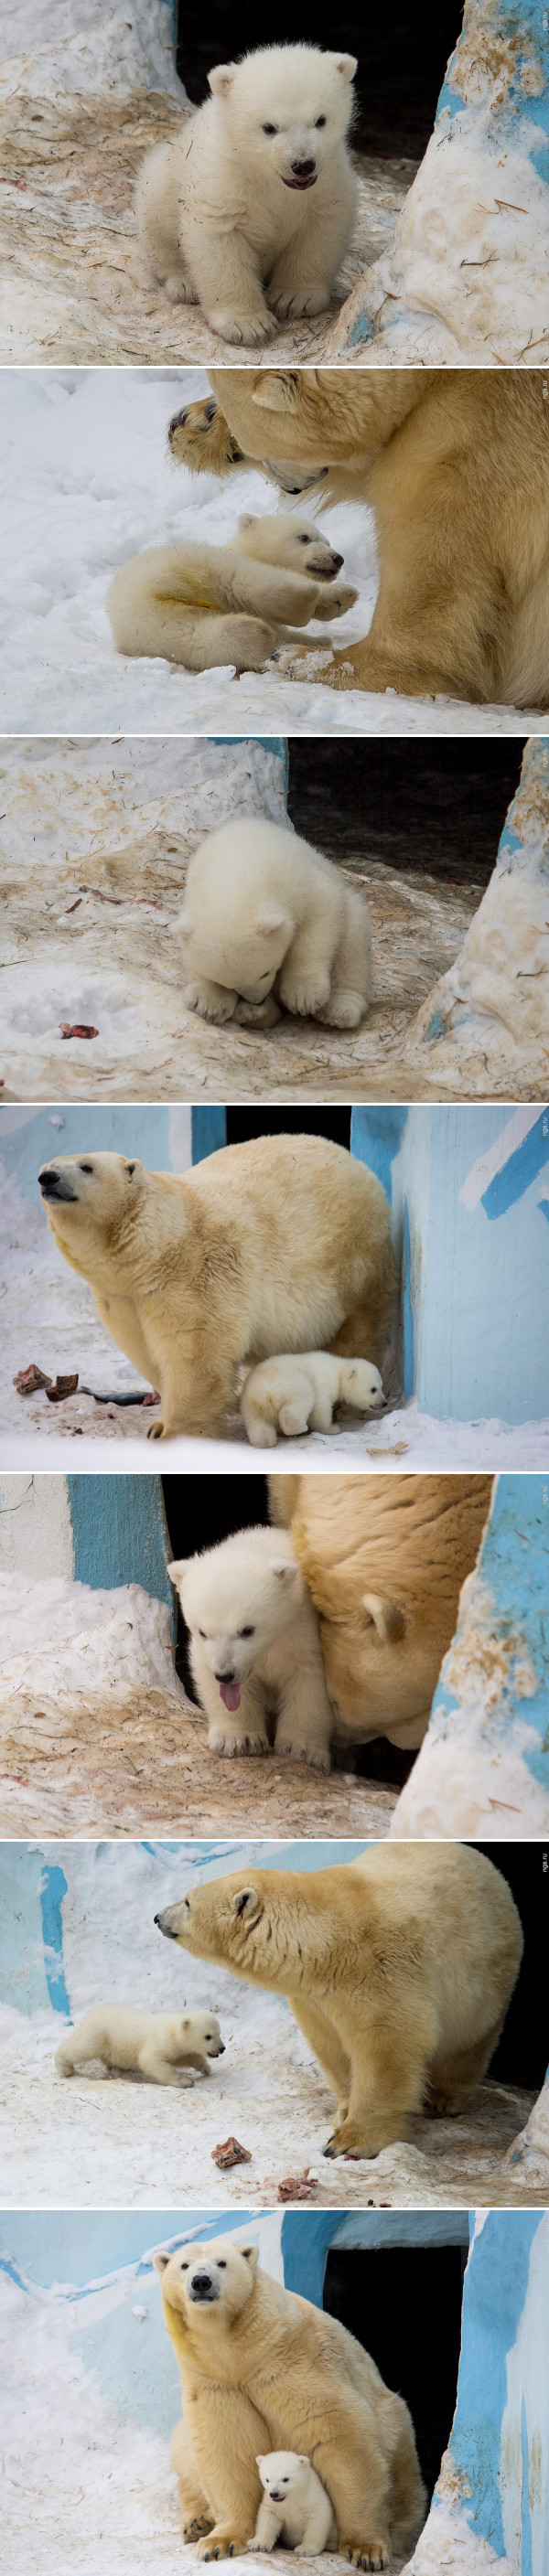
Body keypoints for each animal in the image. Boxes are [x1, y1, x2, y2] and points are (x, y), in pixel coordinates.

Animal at [38, 1138, 396, 1442]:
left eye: (87, 1166)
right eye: (48, 1164)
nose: (47, 1177)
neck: (153, 1248)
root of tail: (356, 1162)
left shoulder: (196, 1274)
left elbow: (195, 1353)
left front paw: (174, 1433)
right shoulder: (121, 1295)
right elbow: (144, 1350)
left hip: (355, 1262)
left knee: (359, 1325)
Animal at [152, 2225, 427, 2565]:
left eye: (222, 2263)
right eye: (184, 2265)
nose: (201, 2282)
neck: (237, 2351)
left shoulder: (291, 2365)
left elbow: (339, 2437)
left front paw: (365, 2549)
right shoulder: (215, 2383)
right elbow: (226, 2448)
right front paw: (219, 2542)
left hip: (393, 2421)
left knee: (402, 2473)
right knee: (186, 2458)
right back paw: (198, 2523)